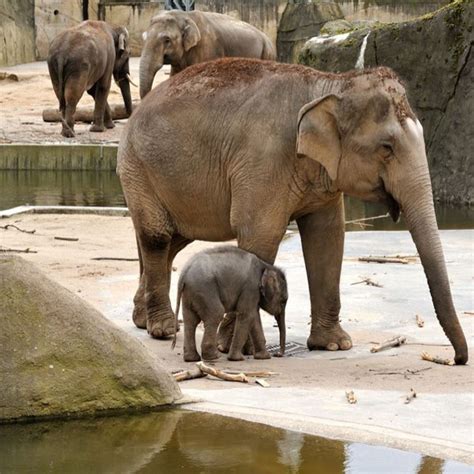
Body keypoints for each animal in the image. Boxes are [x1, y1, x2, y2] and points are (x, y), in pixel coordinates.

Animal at [117, 57, 466, 364]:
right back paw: (162, 329)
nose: (456, 359)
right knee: (157, 236)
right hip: (137, 167)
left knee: (173, 240)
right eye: (387, 148)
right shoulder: (263, 161)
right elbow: (262, 234)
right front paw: (233, 346)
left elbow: (328, 237)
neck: (331, 84)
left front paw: (334, 345)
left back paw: (142, 319)